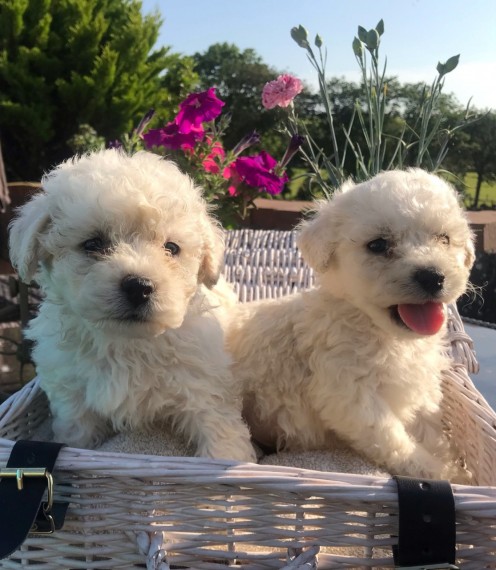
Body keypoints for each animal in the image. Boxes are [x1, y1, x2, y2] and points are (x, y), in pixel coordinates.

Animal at [8, 148, 256, 462]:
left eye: (171, 248)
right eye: (93, 244)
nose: (139, 287)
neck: (127, 344)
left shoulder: (206, 387)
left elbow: (220, 436)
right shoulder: (72, 396)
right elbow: (78, 434)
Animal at [227, 169, 474, 480]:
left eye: (444, 238)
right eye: (378, 245)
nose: (432, 276)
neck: (383, 333)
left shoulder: (420, 389)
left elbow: (431, 429)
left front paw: (455, 469)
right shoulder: (348, 392)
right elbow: (393, 438)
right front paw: (436, 471)